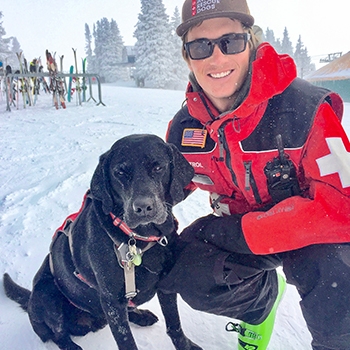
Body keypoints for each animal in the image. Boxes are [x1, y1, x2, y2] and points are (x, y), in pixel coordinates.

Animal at [2, 134, 201, 350]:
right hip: (46, 293)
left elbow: (174, 325)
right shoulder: (111, 301)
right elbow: (127, 341)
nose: (143, 208)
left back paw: (141, 316)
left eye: (158, 167)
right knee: (58, 334)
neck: (138, 239)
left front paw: (186, 346)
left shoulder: (166, 283)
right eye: (120, 172)